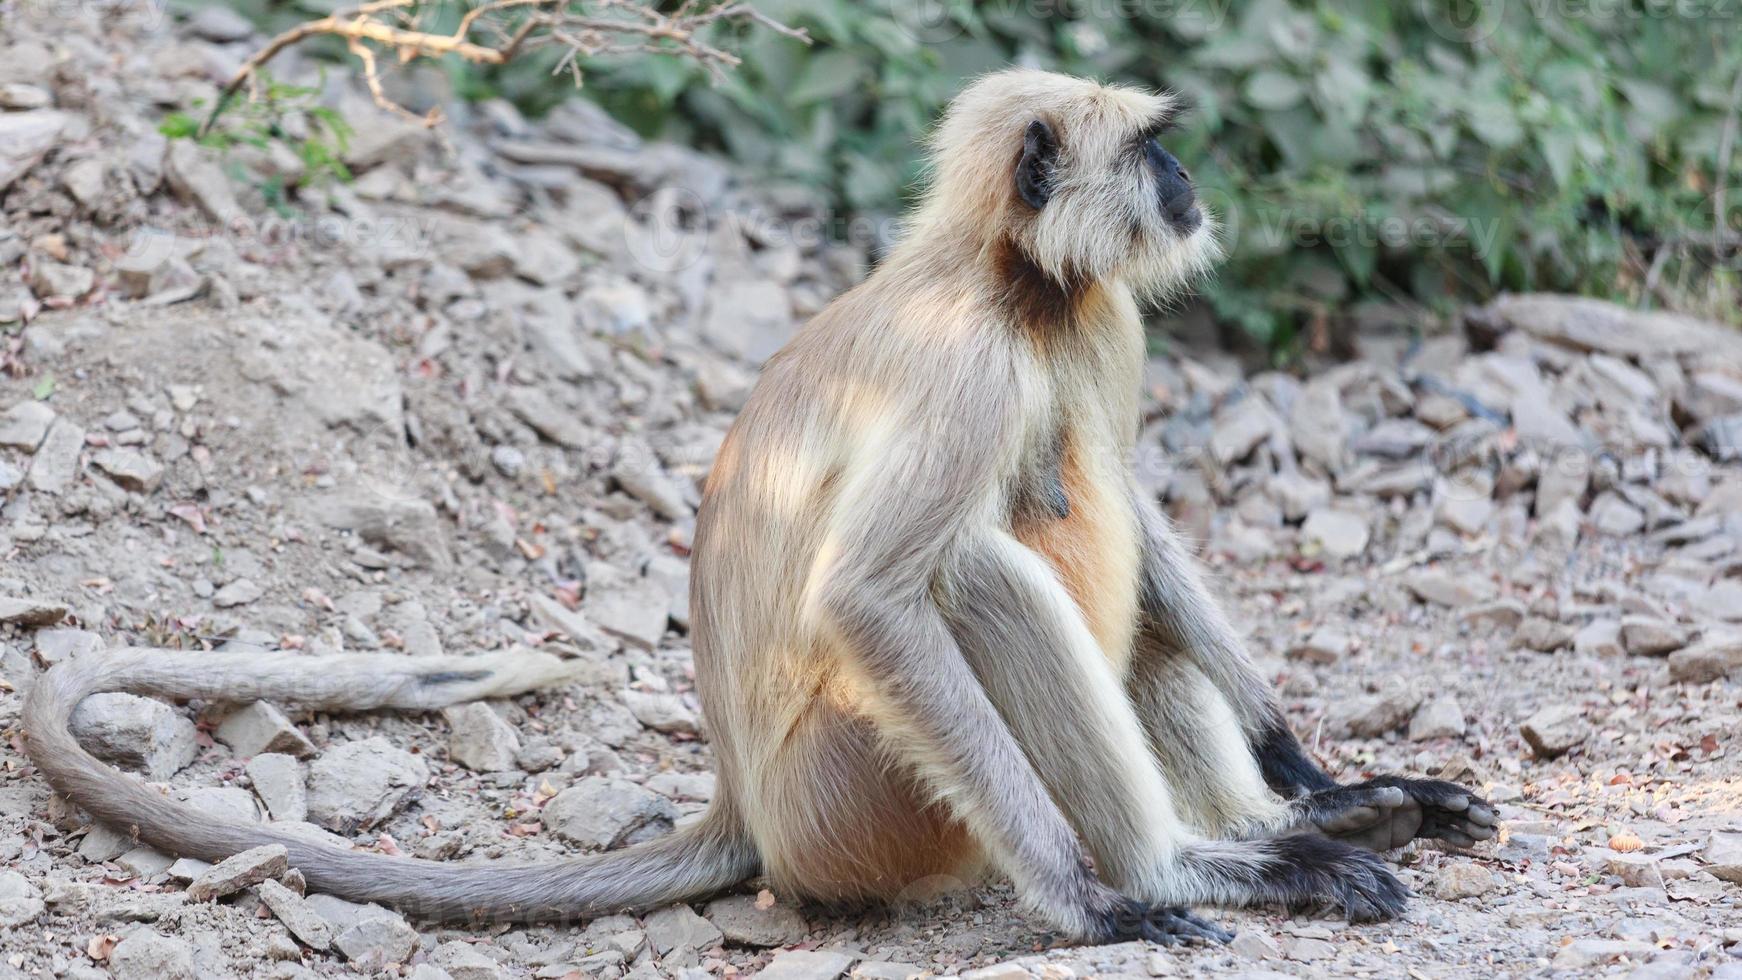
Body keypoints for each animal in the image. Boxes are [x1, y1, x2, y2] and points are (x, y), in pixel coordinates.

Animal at [20, 67, 1498, 939]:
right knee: (973, 574)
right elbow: (871, 594)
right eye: (1152, 154)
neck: (1010, 285)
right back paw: (1175, 868)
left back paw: (1291, 825)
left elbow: (1136, 507)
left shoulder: (1099, 318)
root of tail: (744, 802)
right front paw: (1094, 899)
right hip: (858, 799)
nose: (1188, 188)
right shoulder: (965, 364)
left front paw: (1316, 771)